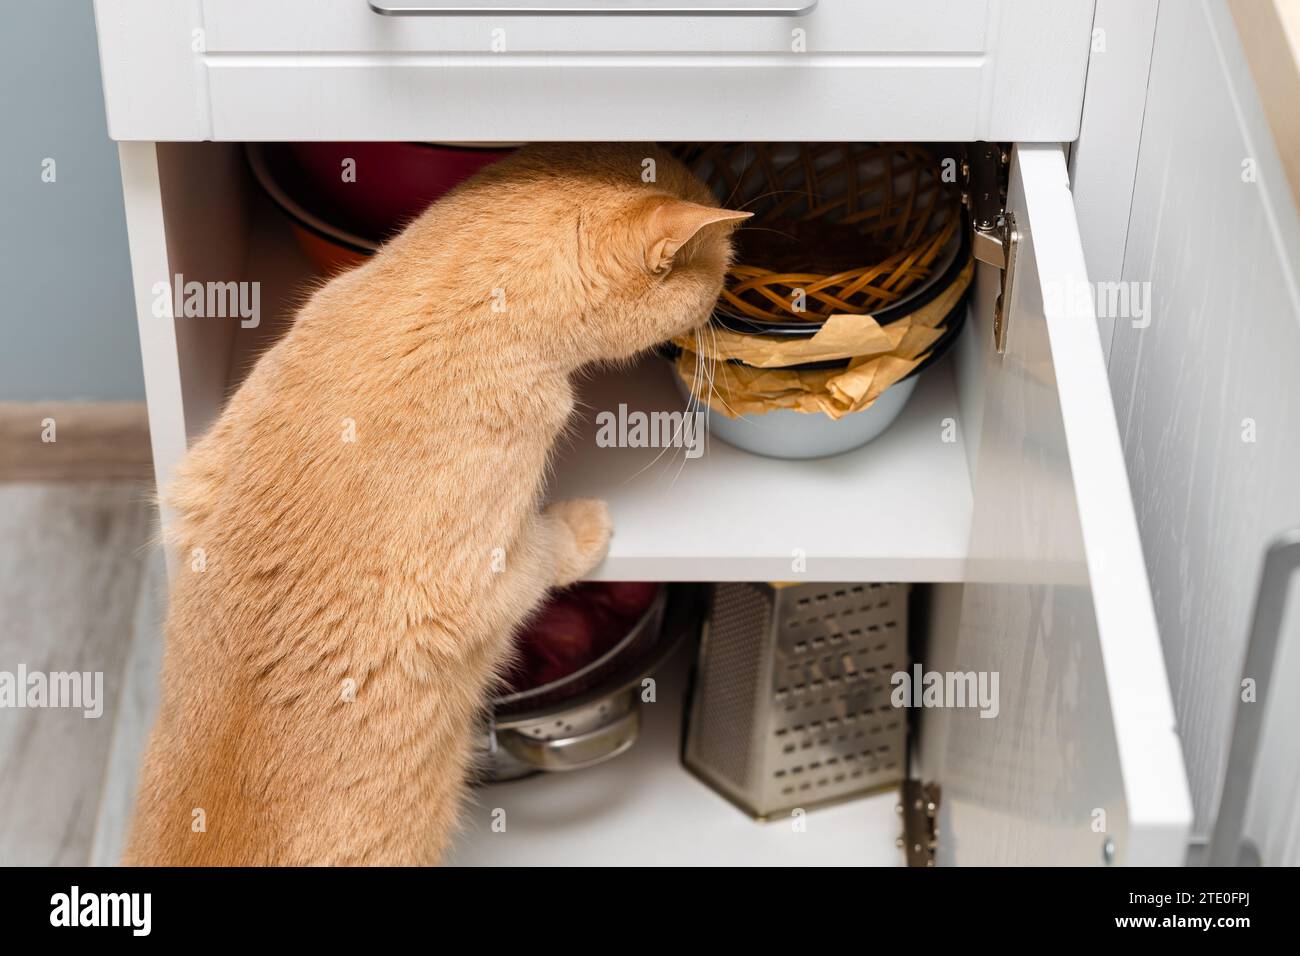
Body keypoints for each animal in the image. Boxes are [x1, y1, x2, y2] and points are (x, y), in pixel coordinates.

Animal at [126, 143, 748, 868]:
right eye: (721, 267)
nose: (730, 287)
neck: (432, 296)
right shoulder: (481, 576)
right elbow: (551, 550)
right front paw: (585, 525)